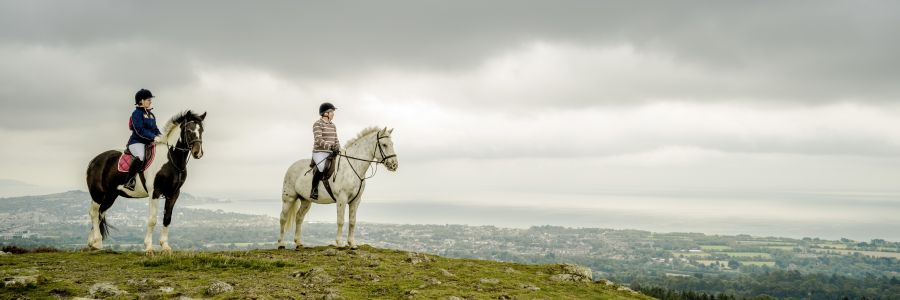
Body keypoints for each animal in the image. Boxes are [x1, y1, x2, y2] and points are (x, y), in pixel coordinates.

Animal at [85, 109, 206, 254]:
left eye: (202, 130)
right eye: (188, 130)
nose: (198, 153)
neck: (171, 160)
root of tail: (94, 161)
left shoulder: (173, 193)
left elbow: (167, 218)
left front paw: (165, 246)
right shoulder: (155, 192)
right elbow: (152, 220)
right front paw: (148, 247)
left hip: (111, 195)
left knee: (100, 213)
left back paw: (93, 244)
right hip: (98, 194)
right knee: (94, 213)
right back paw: (97, 242)